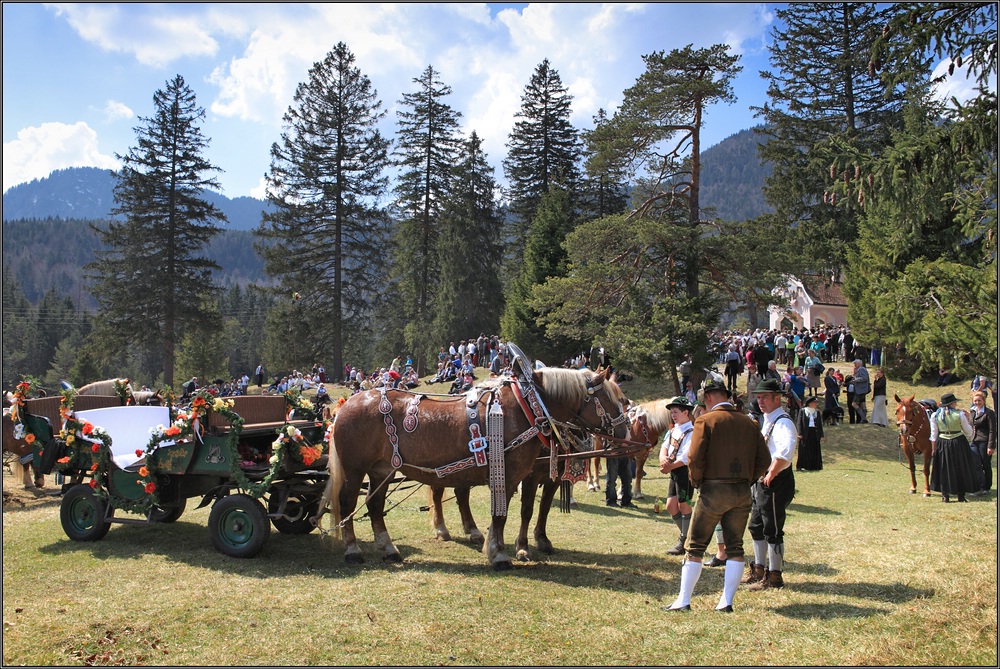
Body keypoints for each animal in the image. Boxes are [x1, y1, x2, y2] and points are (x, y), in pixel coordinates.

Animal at [324, 366, 628, 568]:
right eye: (610, 399)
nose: (625, 432)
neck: (527, 407)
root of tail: (346, 404)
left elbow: (514, 513)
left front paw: (496, 546)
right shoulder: (511, 474)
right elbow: (504, 514)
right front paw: (501, 553)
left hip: (381, 470)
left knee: (375, 506)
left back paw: (389, 548)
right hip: (355, 470)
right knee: (349, 504)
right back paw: (353, 549)